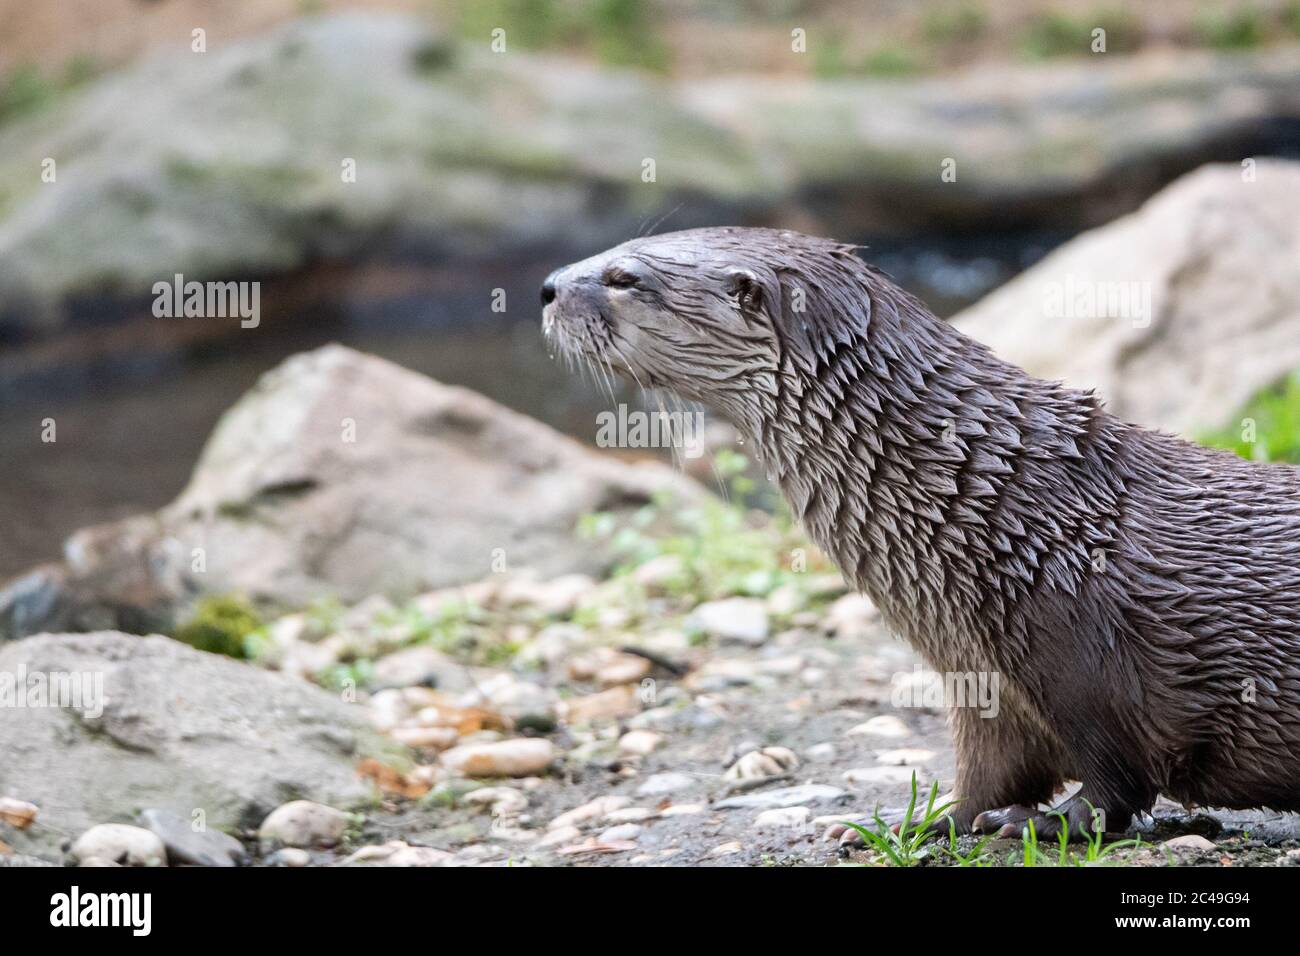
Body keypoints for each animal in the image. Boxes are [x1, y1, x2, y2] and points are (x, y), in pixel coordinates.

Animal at [540, 227, 1300, 842]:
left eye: (624, 276)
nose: (546, 287)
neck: (1003, 518)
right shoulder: (980, 685)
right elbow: (990, 773)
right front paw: (920, 822)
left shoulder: (1092, 661)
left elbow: (1116, 780)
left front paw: (1047, 825)